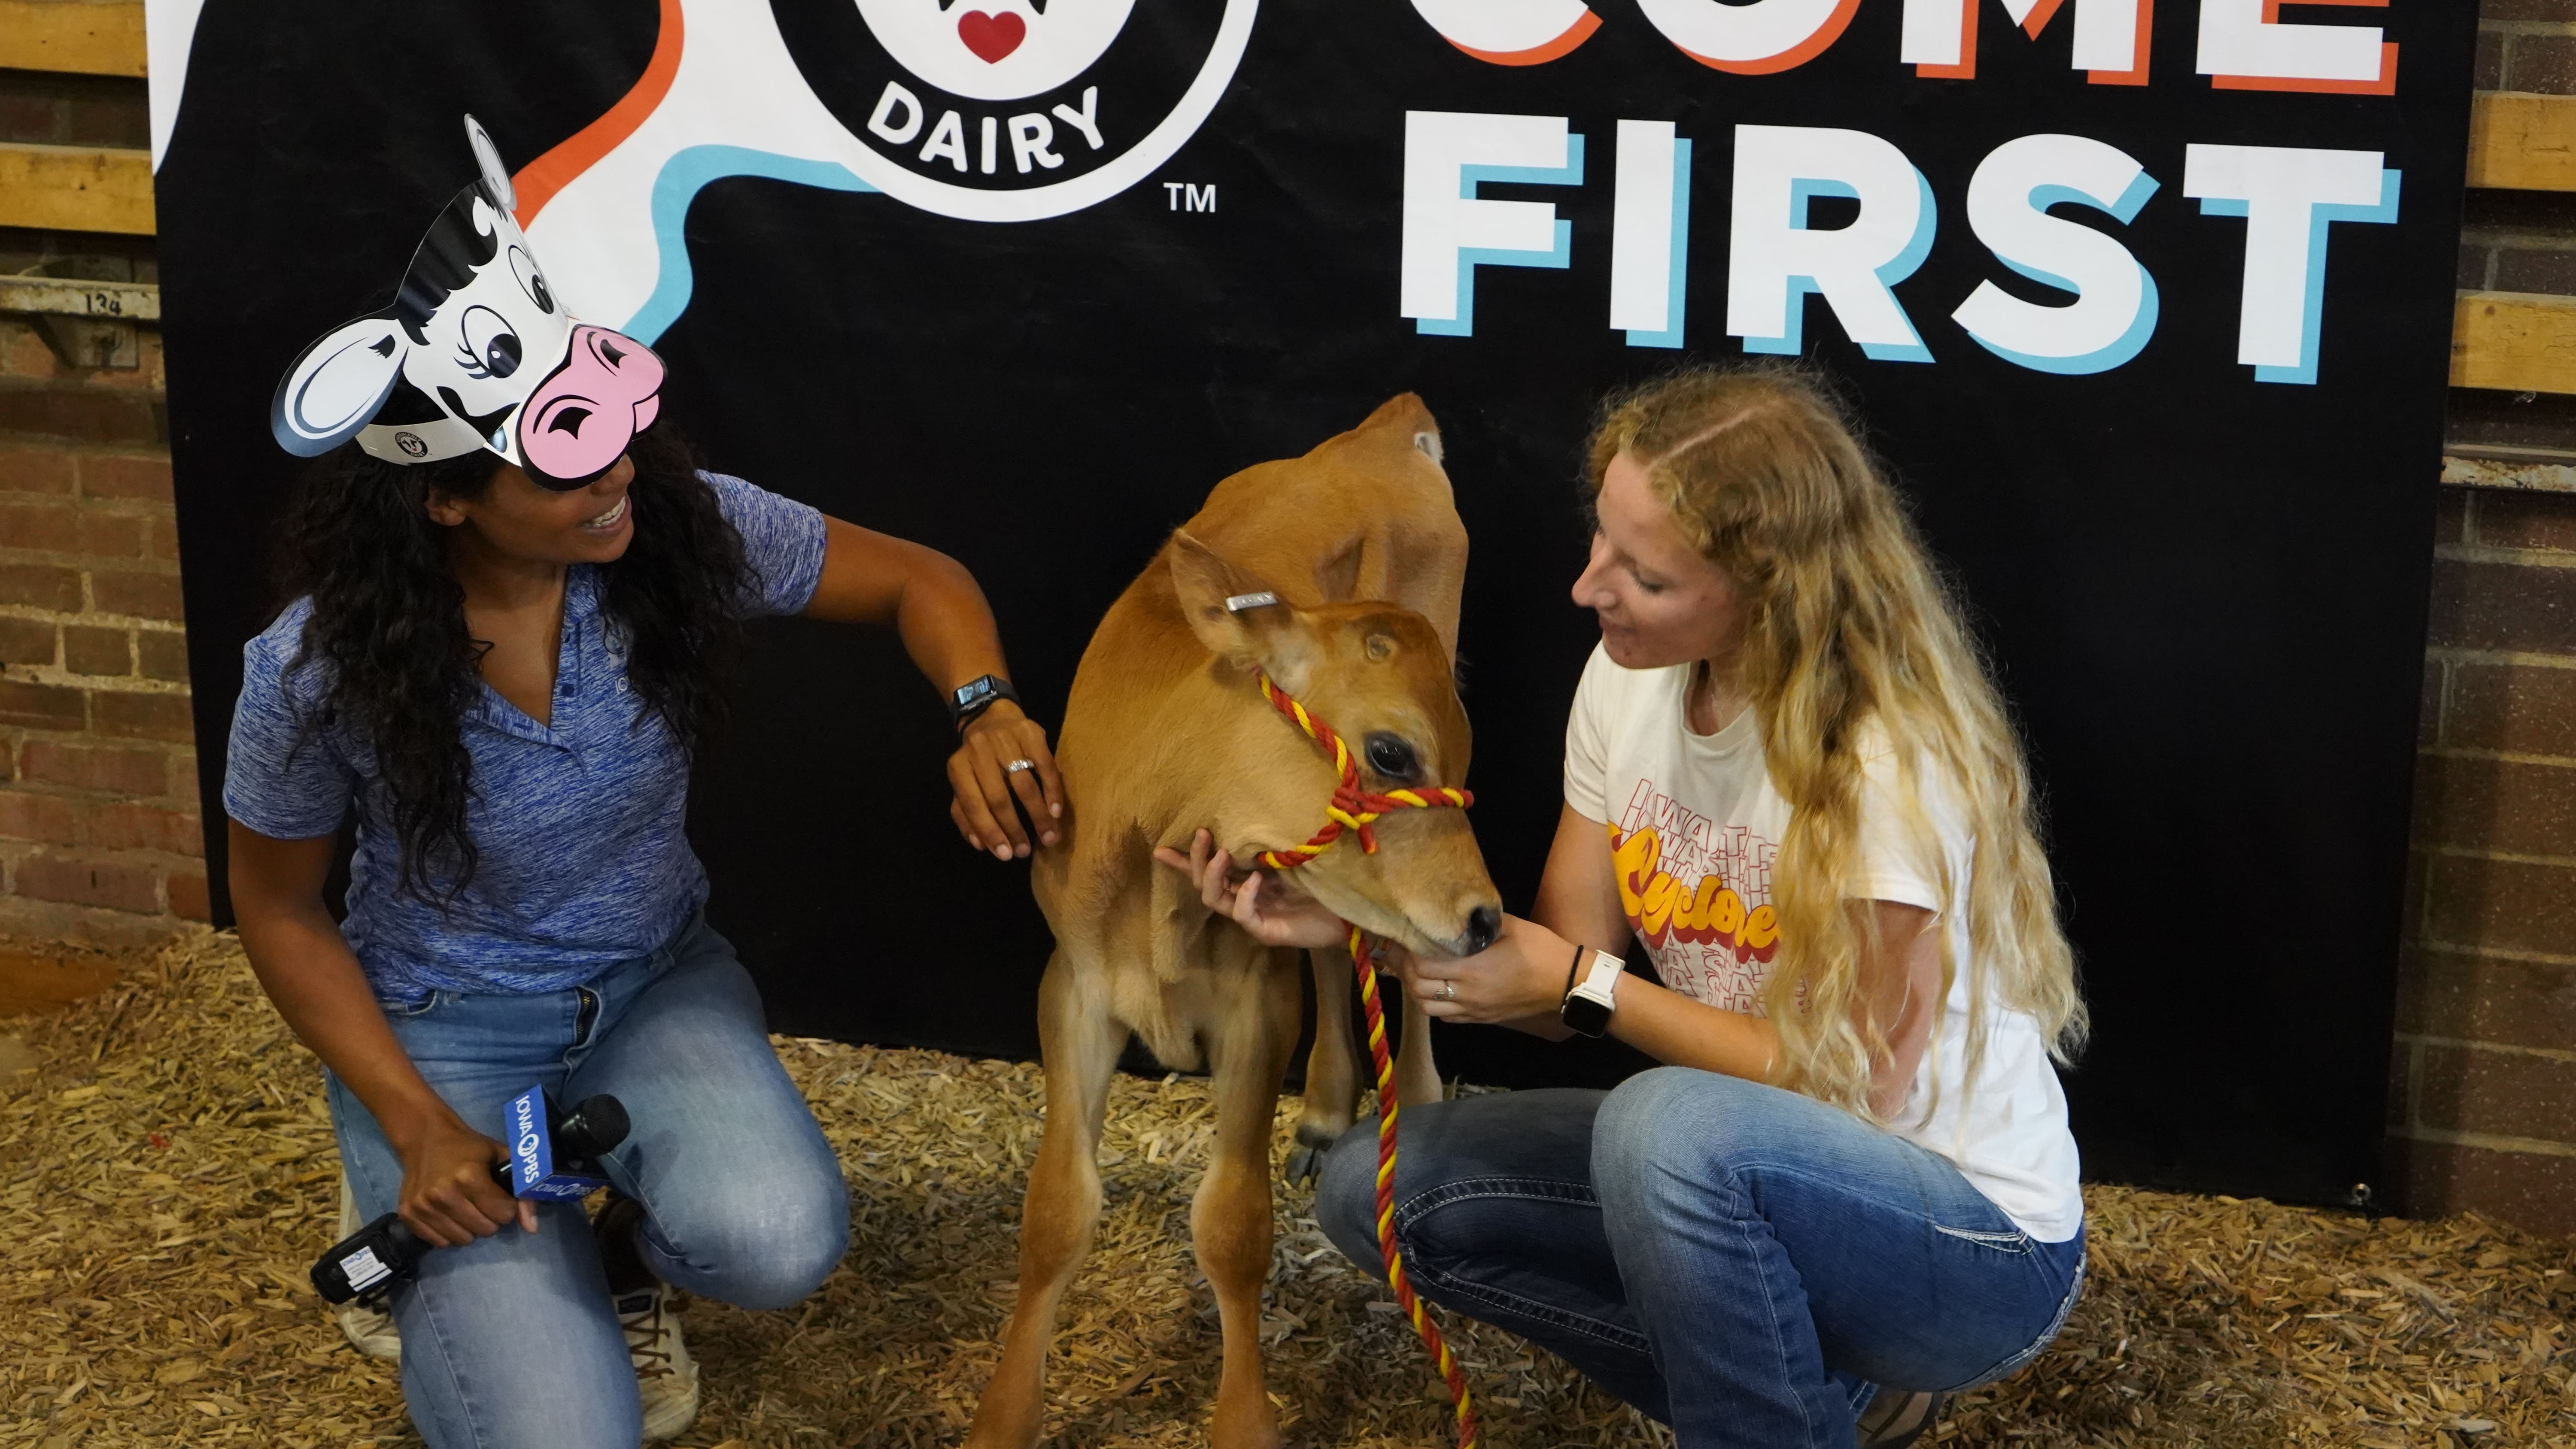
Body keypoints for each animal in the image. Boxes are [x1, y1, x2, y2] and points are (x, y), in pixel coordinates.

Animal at [963, 396, 1494, 1449]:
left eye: (1444, 756)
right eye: (1389, 750)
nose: (1489, 918)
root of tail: (1384, 428)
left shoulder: (1257, 997)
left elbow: (1234, 1225)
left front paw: (1244, 1418)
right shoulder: (1073, 984)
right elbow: (1056, 1211)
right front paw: (1003, 1417)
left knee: (1400, 970)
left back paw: (1407, 1093)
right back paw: (1328, 1108)